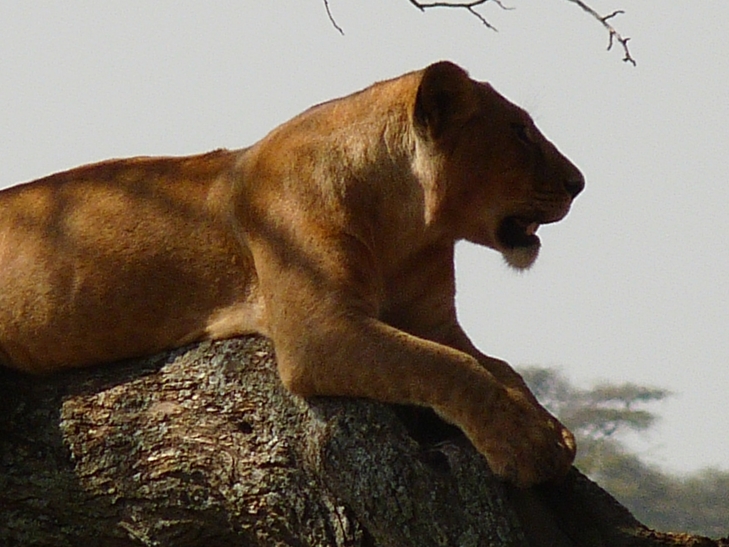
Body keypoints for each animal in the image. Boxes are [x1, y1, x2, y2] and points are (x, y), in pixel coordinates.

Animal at [0, 61, 583, 487]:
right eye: (521, 132)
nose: (579, 183)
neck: (406, 228)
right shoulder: (320, 331)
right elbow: (452, 368)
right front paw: (527, 447)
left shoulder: (432, 319)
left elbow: (494, 366)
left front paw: (549, 429)